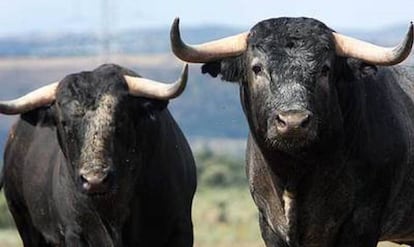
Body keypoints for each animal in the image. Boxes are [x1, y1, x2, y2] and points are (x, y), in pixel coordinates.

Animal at [169, 16, 414, 246]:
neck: (296, 173)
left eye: (325, 69)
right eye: (256, 68)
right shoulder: (269, 224)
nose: (293, 122)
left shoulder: (362, 222)